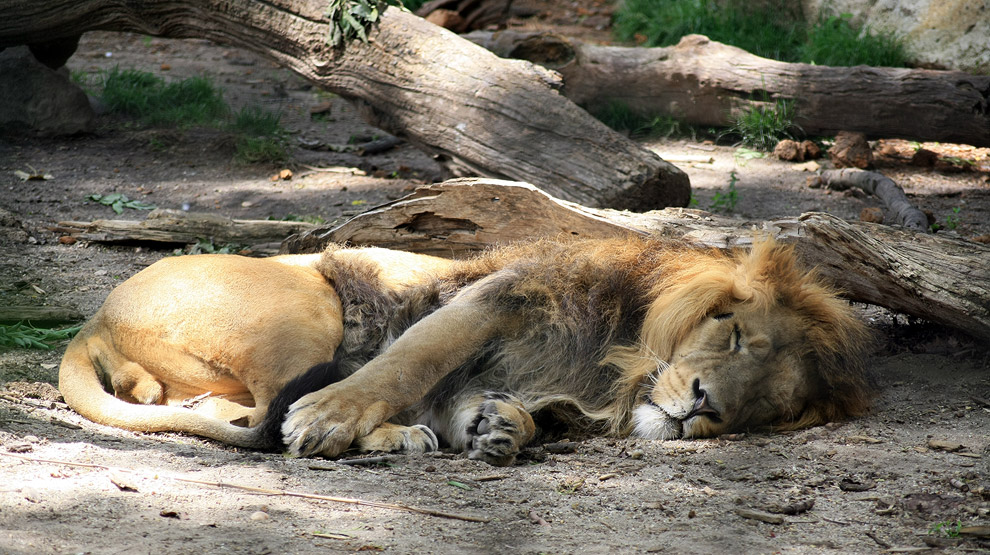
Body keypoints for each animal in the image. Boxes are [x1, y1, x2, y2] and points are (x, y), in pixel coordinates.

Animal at [58, 238, 872, 464]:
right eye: (732, 335)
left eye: (763, 408)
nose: (707, 406)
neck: (611, 371)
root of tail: (93, 315)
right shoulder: (494, 298)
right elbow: (406, 360)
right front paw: (329, 417)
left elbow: (481, 400)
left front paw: (499, 427)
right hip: (310, 305)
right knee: (258, 416)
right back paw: (374, 433)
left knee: (223, 412)